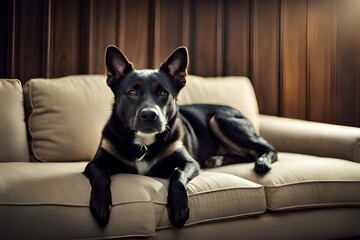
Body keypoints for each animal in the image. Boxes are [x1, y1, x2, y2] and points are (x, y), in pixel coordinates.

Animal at [84, 45, 278, 229]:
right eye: (131, 92)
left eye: (164, 93)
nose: (149, 115)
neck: (144, 144)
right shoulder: (95, 163)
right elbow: (100, 174)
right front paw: (100, 205)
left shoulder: (190, 163)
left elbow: (177, 175)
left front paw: (179, 208)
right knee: (249, 153)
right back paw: (217, 159)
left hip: (220, 118)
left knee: (267, 149)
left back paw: (262, 162)